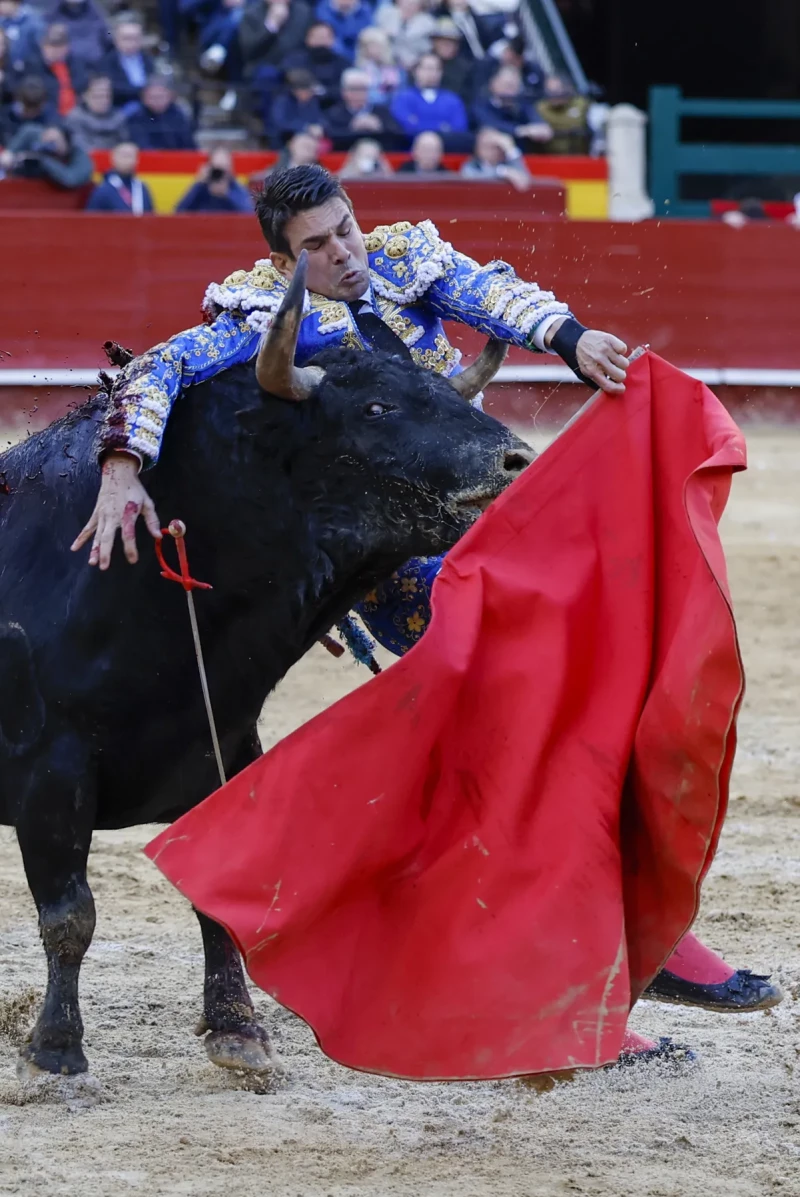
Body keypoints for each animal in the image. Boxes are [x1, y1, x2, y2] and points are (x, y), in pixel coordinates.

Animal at [1, 257, 536, 1082]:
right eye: (377, 406)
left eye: (446, 393)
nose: (514, 462)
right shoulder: (50, 768)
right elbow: (70, 913)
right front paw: (54, 1051)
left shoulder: (224, 744)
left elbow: (217, 893)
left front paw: (237, 1028)